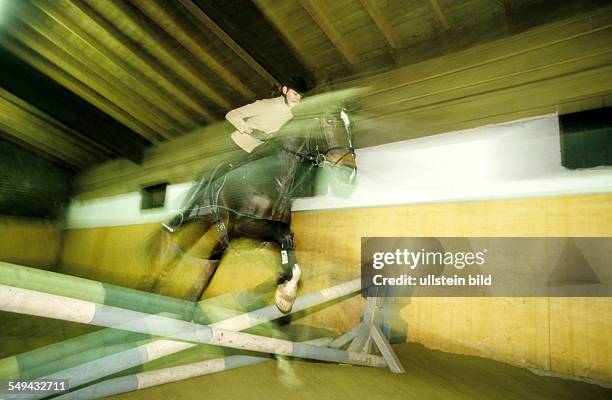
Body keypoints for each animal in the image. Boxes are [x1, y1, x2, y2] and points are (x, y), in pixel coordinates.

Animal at [150, 102, 356, 312]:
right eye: (329, 121)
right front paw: (286, 293)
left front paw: (280, 294)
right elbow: (285, 234)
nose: (350, 173)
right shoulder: (243, 224)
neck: (275, 179)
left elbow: (283, 263)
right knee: (172, 250)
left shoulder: (260, 240)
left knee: (207, 265)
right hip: (194, 225)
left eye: (350, 126)